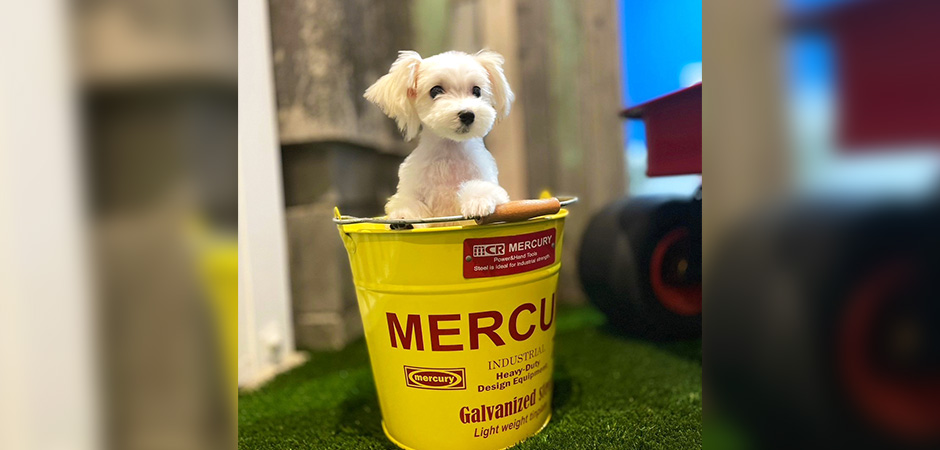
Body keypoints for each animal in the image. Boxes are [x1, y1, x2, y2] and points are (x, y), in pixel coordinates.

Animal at [368, 50, 516, 220]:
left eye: (477, 91)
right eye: (435, 90)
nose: (467, 114)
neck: (450, 151)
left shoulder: (487, 181)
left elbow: (483, 189)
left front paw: (478, 202)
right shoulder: (411, 189)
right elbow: (407, 203)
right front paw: (403, 216)